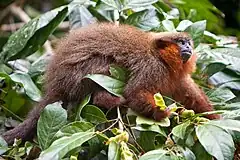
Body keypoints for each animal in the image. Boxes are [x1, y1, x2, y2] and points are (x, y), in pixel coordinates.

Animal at [1, 23, 219, 144]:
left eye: (188, 43)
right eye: (181, 42)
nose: (188, 47)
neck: (162, 59)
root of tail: (55, 82)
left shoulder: (178, 77)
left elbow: (192, 98)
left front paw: (217, 119)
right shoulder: (152, 68)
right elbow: (135, 92)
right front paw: (162, 113)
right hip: (77, 78)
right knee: (103, 64)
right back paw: (106, 100)